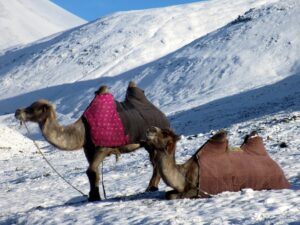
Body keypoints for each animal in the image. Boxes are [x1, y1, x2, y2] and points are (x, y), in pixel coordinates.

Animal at [15, 81, 170, 201]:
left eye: (32, 109)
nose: (17, 111)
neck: (83, 131)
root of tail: (162, 115)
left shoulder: (103, 147)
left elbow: (90, 170)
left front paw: (94, 197)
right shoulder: (88, 150)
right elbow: (94, 172)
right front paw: (93, 196)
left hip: (152, 142)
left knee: (156, 162)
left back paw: (151, 187)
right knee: (155, 162)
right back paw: (152, 187)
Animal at [145, 127, 290, 200]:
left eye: (164, 134)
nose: (150, 130)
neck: (185, 175)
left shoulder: (197, 190)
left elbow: (172, 196)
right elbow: (168, 193)